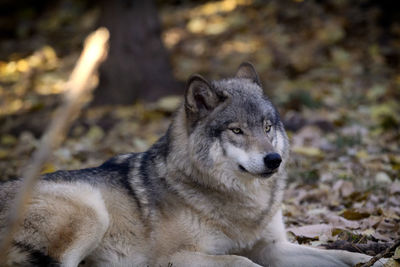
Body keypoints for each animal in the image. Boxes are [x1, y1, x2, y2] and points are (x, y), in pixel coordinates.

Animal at [0, 61, 384, 266]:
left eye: (267, 127)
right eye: (236, 130)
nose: (273, 160)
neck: (239, 202)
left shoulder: (274, 247)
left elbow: (341, 255)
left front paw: (370, 258)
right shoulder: (177, 257)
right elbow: (242, 260)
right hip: (90, 210)